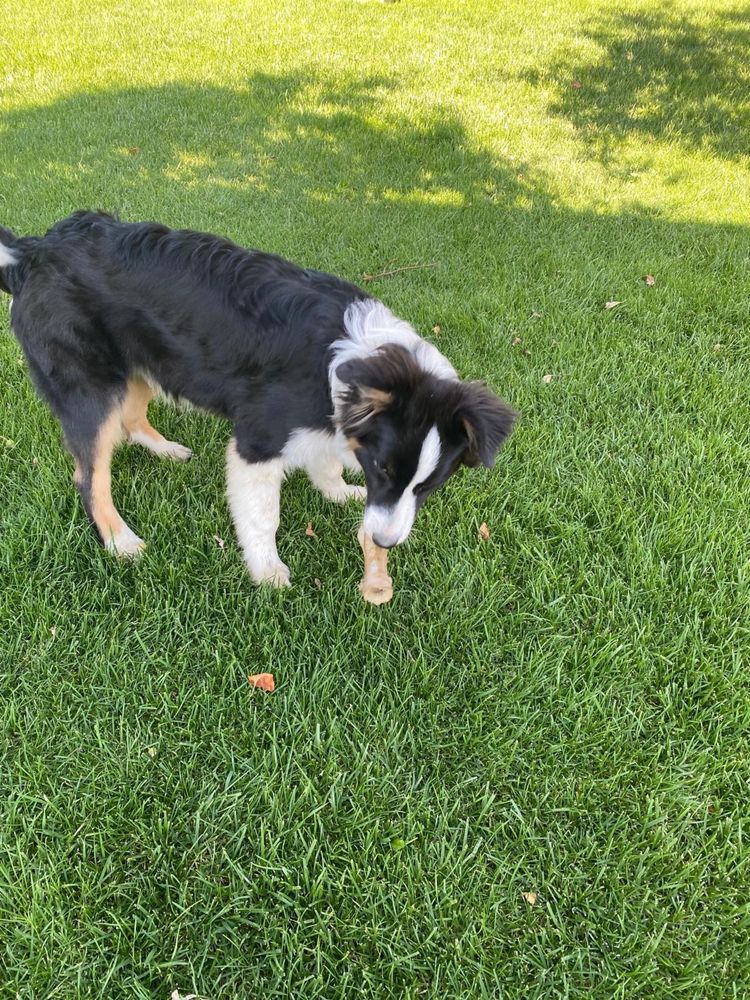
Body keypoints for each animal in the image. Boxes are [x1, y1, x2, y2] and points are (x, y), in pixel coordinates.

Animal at [0, 211, 516, 584]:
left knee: (129, 419)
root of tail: (34, 250)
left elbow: (325, 460)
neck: (353, 358)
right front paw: (267, 571)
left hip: (142, 361)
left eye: (428, 486)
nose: (385, 544)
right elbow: (263, 516)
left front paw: (336, 491)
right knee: (89, 476)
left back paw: (165, 450)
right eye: (384, 470)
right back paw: (119, 540)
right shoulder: (257, 442)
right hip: (91, 386)